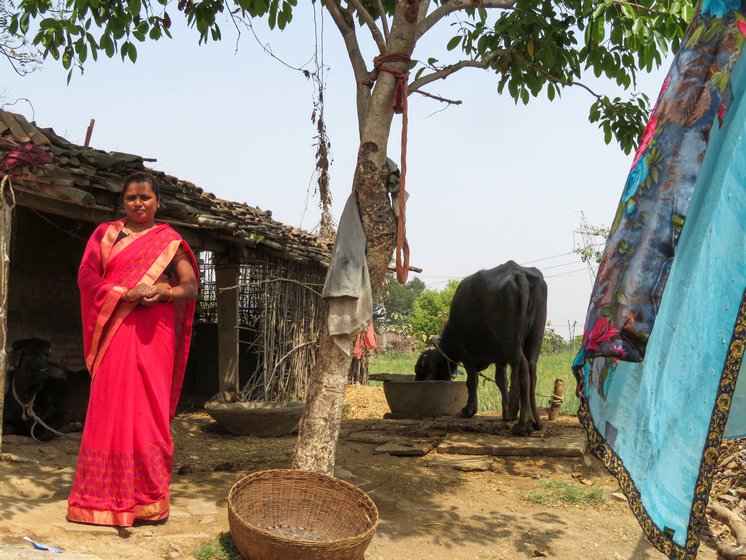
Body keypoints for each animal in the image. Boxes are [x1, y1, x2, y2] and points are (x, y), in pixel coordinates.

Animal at [412, 260, 548, 436]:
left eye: (419, 369)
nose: (416, 381)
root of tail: (519, 273)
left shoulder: (466, 355)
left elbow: (472, 381)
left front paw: (468, 410)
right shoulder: (500, 359)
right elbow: (501, 380)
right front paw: (507, 413)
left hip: (511, 341)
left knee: (522, 367)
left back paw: (523, 424)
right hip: (534, 336)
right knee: (531, 367)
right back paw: (535, 421)